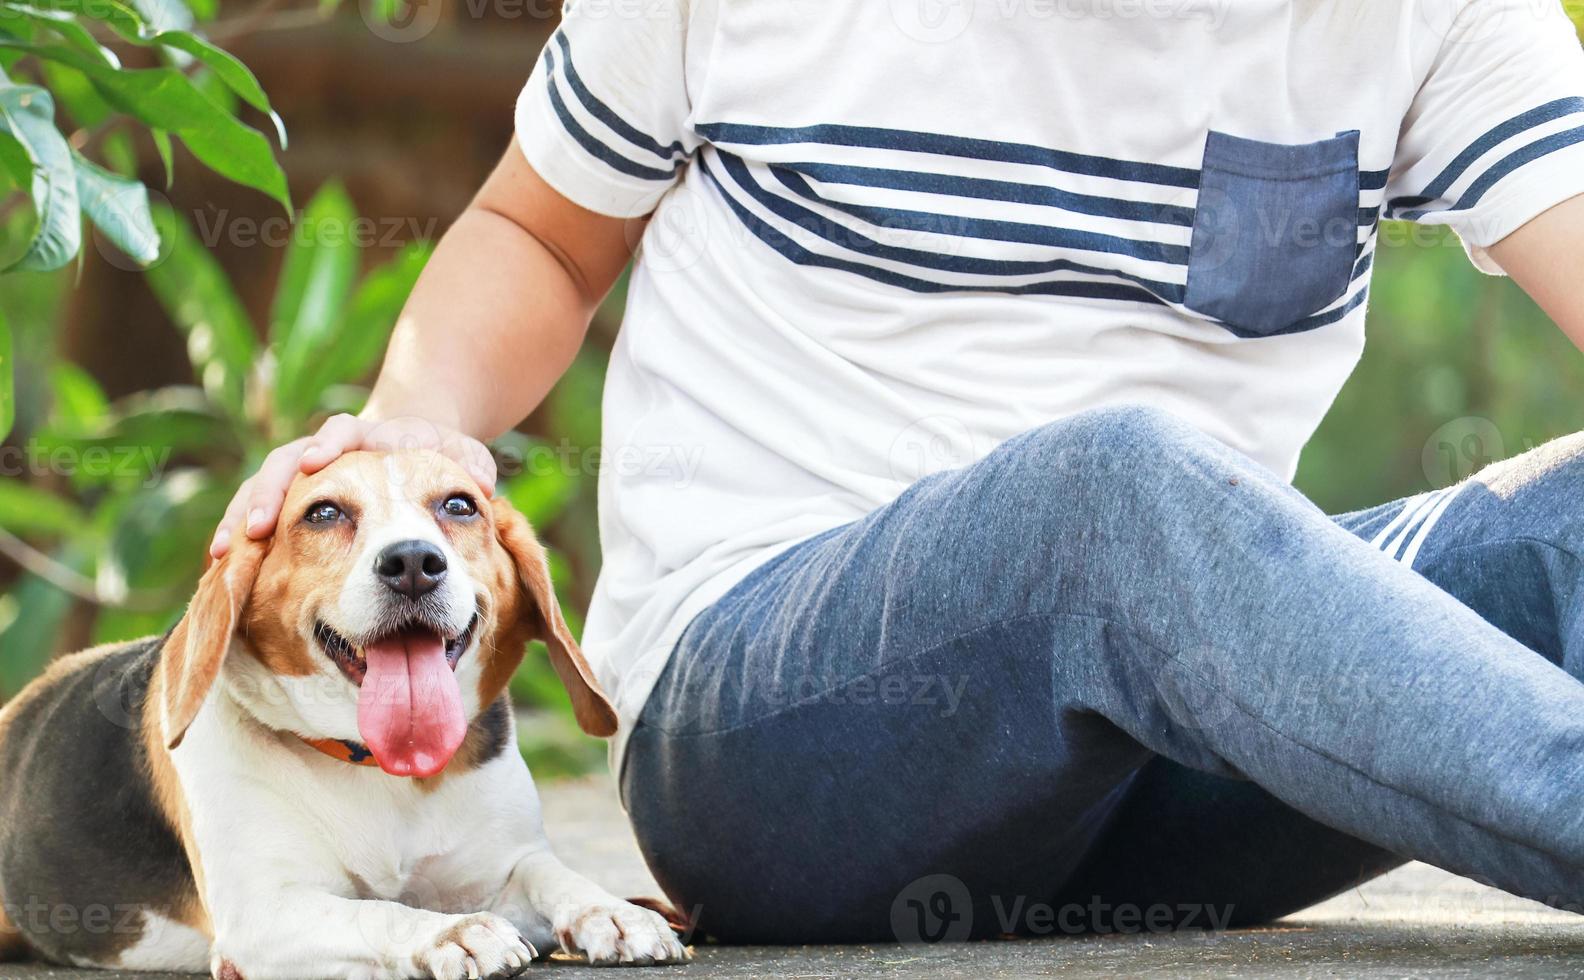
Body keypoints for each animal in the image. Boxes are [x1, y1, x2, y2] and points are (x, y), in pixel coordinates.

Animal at [1, 452, 693, 980]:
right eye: (324, 513)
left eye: (460, 506)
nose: (413, 562)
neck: (375, 767)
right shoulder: (262, 914)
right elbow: (379, 911)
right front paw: (453, 934)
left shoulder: (495, 869)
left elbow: (549, 871)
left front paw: (612, 911)